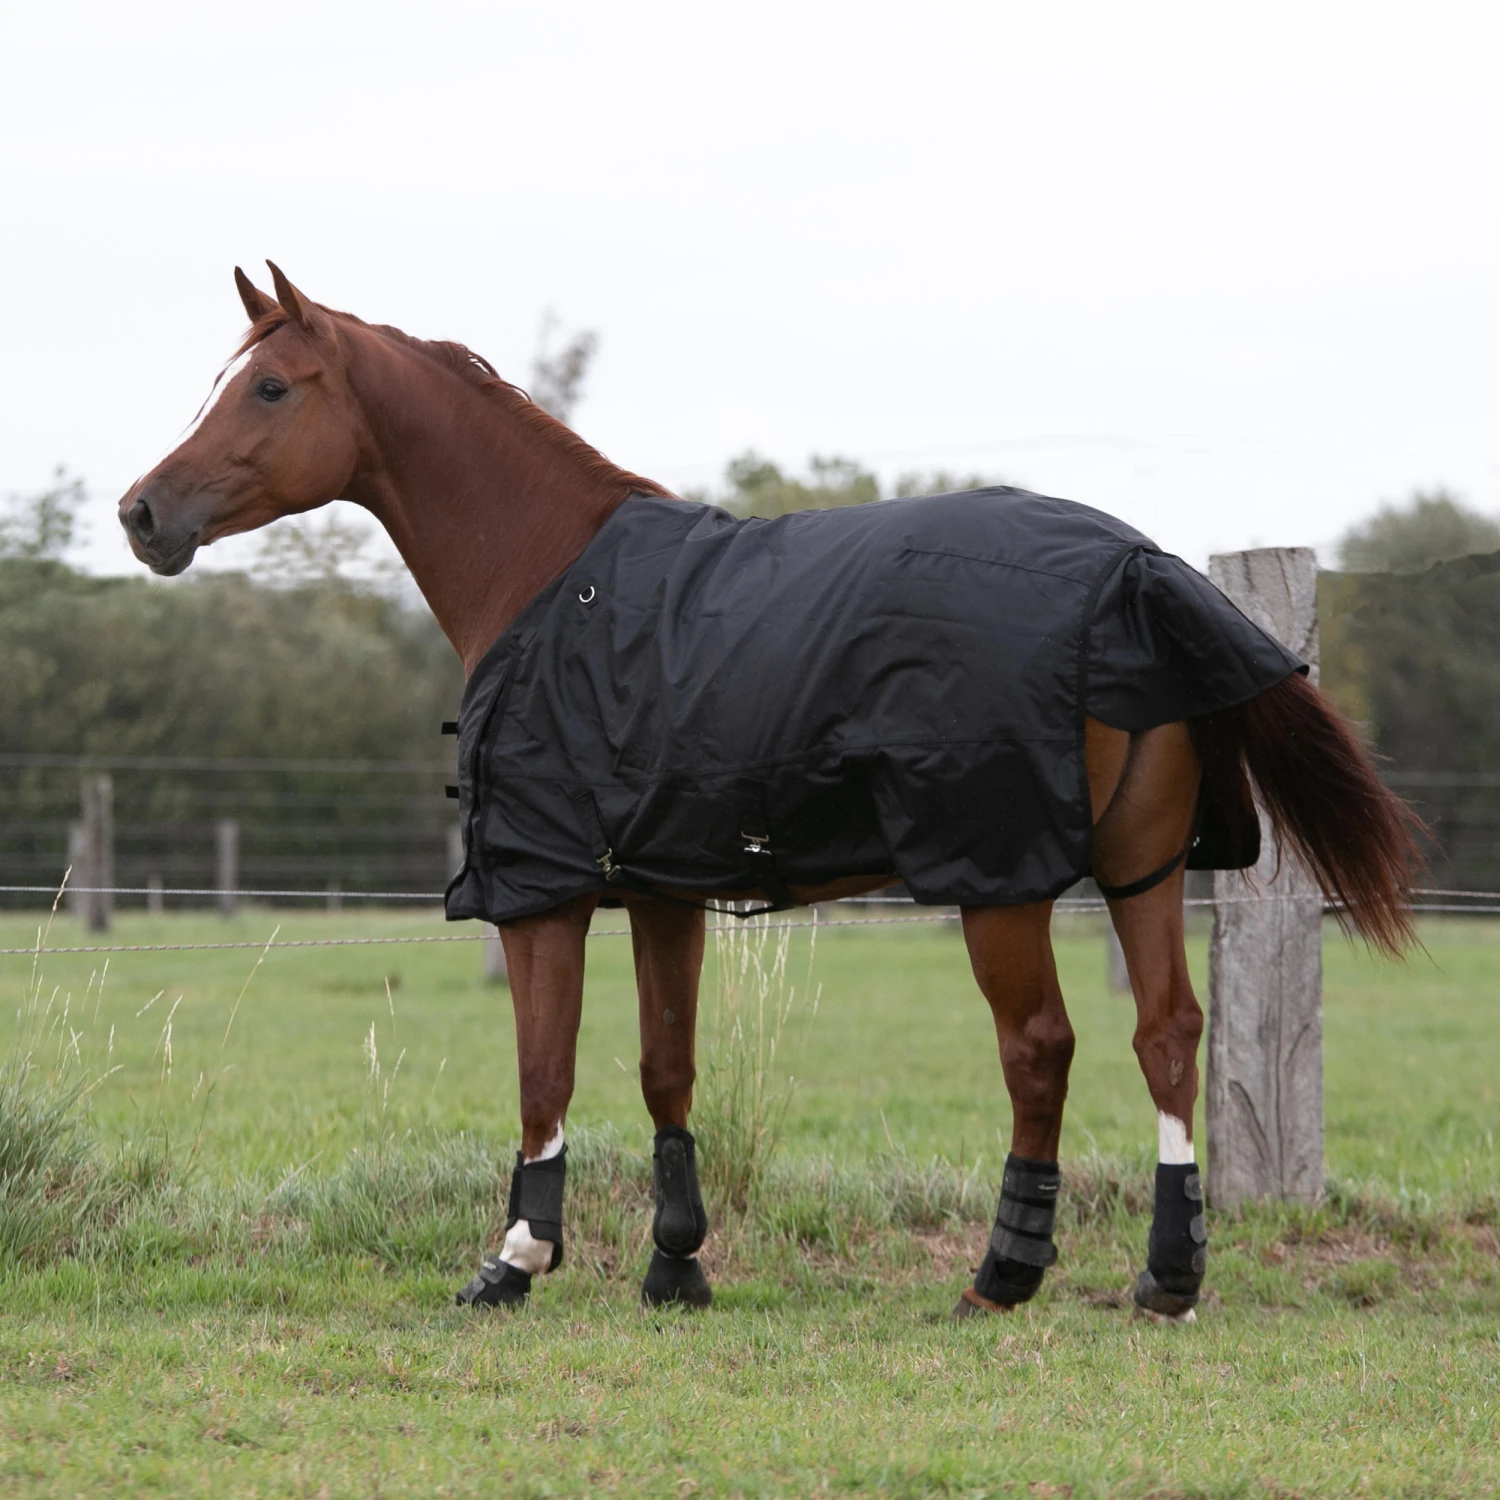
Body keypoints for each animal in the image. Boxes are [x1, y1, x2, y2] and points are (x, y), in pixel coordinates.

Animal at [118, 264, 1422, 1323]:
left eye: (270, 387)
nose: (141, 513)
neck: (551, 577)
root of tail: (1135, 564)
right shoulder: (661, 888)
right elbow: (666, 1065)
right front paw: (675, 1265)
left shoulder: (544, 892)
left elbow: (546, 1071)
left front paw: (517, 1260)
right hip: (1141, 867)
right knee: (1168, 1036)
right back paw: (1166, 1277)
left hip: (1000, 880)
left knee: (1040, 1047)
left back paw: (1003, 1276)